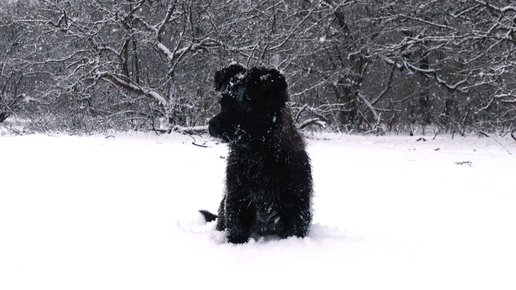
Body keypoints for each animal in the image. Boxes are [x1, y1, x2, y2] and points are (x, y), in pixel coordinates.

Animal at [200, 64, 312, 244]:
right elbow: (236, 231)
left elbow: (295, 231)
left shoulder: (297, 206)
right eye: (222, 102)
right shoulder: (236, 200)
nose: (212, 124)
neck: (259, 155)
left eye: (243, 104)